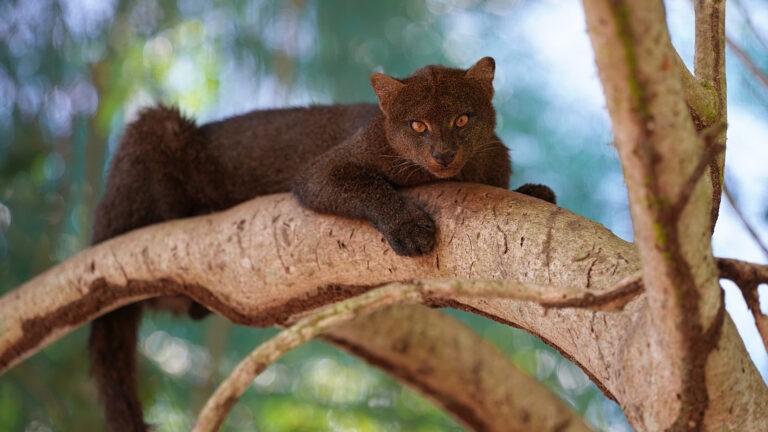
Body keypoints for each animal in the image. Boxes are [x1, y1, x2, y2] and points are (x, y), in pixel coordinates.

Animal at [90, 57, 556, 432]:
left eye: (462, 119)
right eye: (418, 125)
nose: (443, 154)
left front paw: (535, 191)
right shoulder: (321, 173)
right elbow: (373, 189)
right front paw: (409, 228)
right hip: (155, 128)